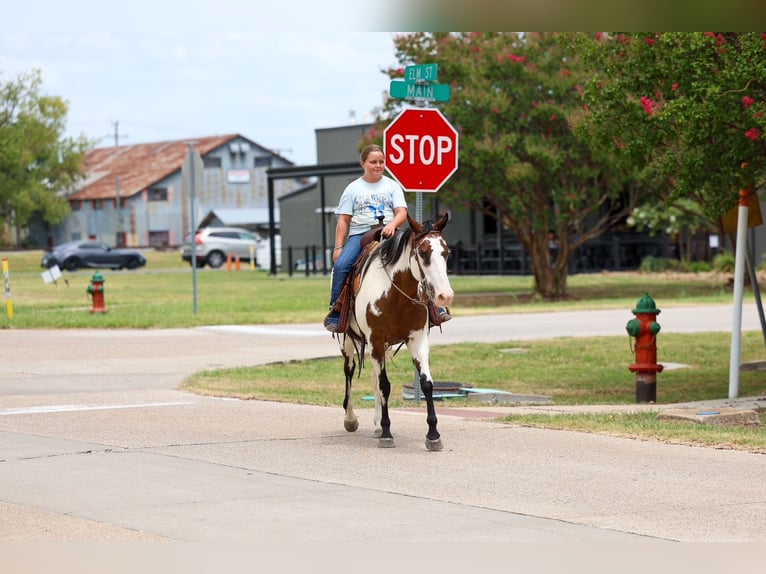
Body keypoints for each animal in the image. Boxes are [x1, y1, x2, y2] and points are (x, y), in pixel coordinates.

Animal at [338, 212, 454, 451]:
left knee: (373, 378)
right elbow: (385, 386)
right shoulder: (375, 339)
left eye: (446, 252)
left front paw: (433, 435)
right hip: (350, 340)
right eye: (423, 252)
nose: (445, 296)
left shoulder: (417, 340)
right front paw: (386, 433)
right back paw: (351, 418)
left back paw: (375, 424)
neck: (395, 294)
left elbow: (426, 384)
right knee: (350, 371)